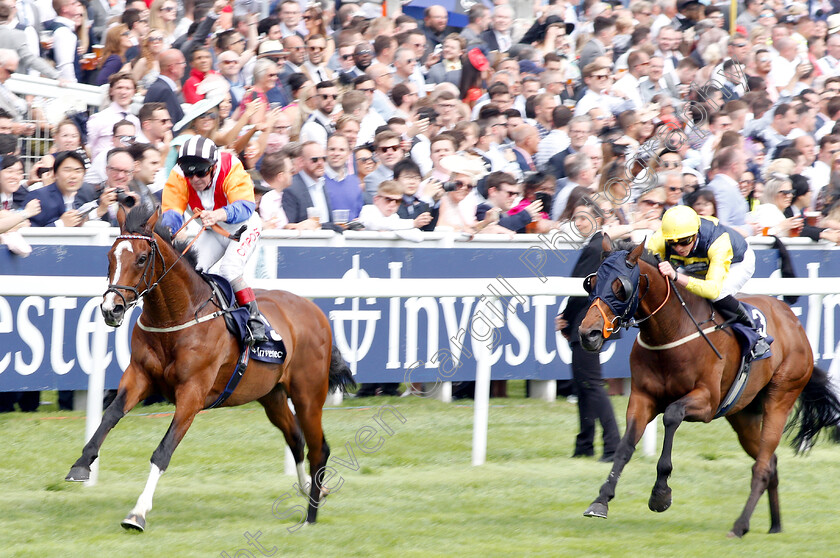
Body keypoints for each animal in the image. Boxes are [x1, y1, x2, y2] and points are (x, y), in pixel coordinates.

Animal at [65, 206, 354, 532]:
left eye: (141, 258)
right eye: (110, 256)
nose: (110, 309)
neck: (177, 317)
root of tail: (316, 312)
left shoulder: (192, 393)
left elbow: (163, 451)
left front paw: (137, 513)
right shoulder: (139, 375)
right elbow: (110, 415)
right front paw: (81, 464)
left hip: (308, 394)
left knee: (319, 448)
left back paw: (311, 516)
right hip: (272, 395)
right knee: (297, 439)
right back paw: (311, 490)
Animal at [576, 238, 840, 540]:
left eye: (620, 287)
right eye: (591, 282)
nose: (588, 334)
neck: (672, 331)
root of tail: (793, 321)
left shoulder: (707, 402)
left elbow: (672, 415)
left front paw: (660, 494)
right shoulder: (643, 398)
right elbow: (624, 447)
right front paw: (601, 500)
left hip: (781, 396)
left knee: (762, 466)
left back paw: (739, 526)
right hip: (743, 415)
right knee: (770, 461)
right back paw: (774, 525)